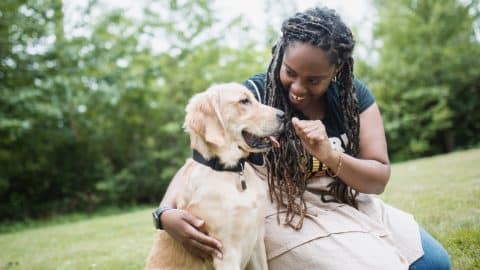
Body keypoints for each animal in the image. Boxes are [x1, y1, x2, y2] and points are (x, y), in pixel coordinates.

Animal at [144, 83, 284, 270]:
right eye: (244, 101)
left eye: (254, 98)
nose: (284, 115)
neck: (230, 171)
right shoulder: (226, 253)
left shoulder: (257, 243)